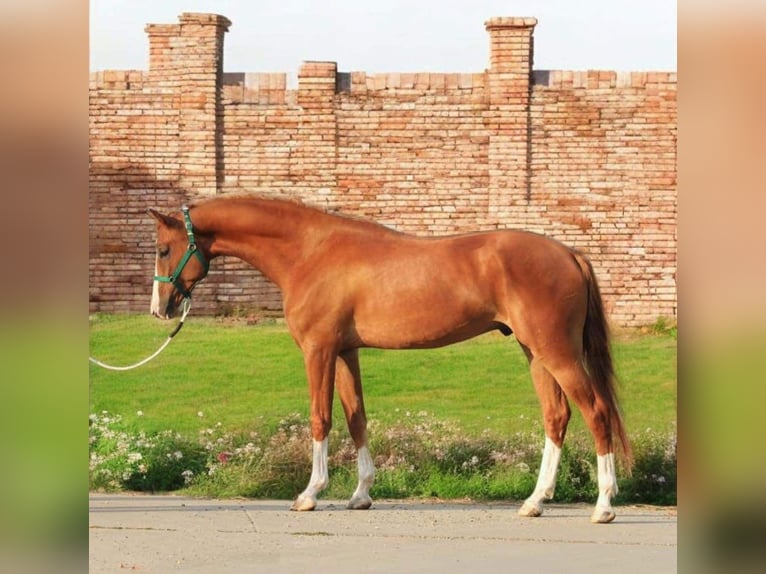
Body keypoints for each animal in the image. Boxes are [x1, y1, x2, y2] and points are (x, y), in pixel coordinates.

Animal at [148, 196, 632, 524]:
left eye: (162, 249)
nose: (160, 310)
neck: (310, 251)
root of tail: (569, 254)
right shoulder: (345, 351)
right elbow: (356, 417)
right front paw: (361, 494)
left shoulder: (319, 350)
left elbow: (320, 418)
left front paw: (310, 493)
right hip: (535, 353)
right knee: (556, 417)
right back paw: (535, 501)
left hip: (557, 352)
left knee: (596, 412)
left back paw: (604, 505)